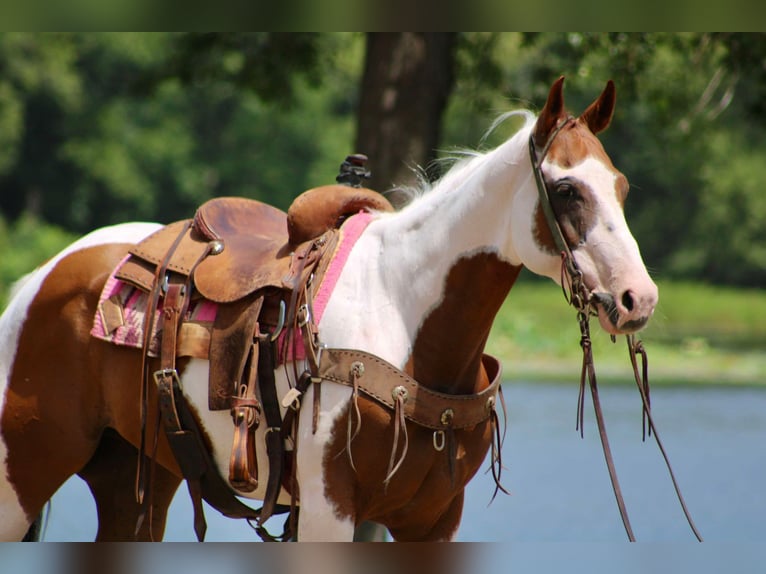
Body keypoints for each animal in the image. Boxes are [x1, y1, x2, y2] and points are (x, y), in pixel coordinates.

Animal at [0, 76, 657, 542]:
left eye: (623, 188)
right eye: (567, 189)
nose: (638, 299)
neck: (404, 308)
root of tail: (42, 276)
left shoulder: (433, 520)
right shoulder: (328, 513)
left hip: (133, 479)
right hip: (23, 473)